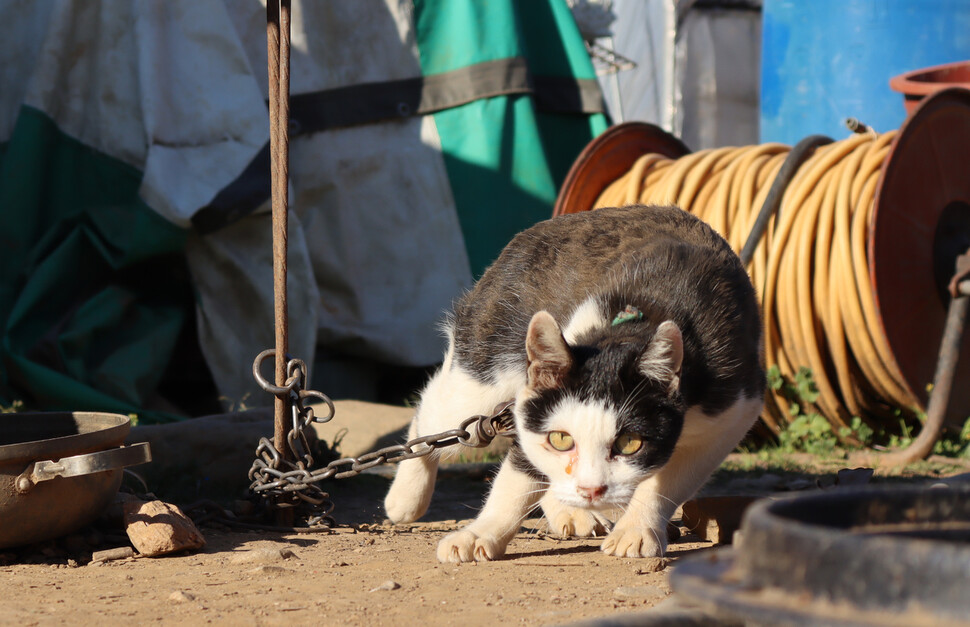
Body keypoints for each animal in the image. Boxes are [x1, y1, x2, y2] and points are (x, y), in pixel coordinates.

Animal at [382, 205, 760, 564]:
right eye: (561, 439)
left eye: (630, 444)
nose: (591, 490)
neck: (640, 319)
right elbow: (520, 471)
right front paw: (481, 533)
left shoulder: (731, 411)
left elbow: (669, 478)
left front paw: (636, 529)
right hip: (486, 359)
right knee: (435, 414)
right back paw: (406, 497)